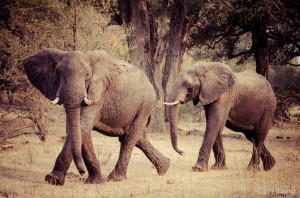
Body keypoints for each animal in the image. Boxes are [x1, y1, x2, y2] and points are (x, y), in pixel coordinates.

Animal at [24, 48, 170, 185]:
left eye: (88, 75)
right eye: (58, 73)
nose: (81, 172)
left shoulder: (99, 91)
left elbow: (83, 125)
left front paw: (53, 179)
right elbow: (79, 129)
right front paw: (95, 181)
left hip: (146, 103)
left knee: (130, 137)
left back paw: (116, 178)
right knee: (139, 138)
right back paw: (165, 167)